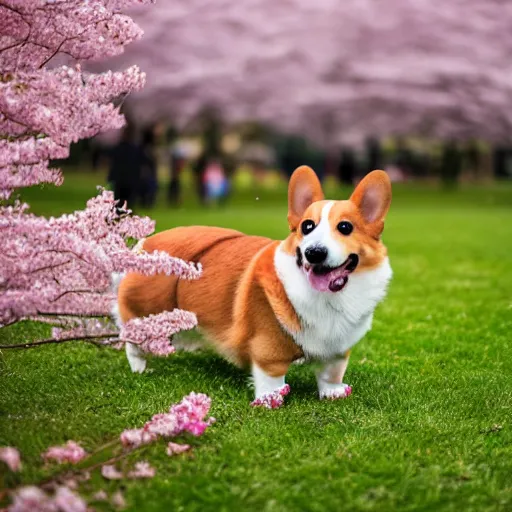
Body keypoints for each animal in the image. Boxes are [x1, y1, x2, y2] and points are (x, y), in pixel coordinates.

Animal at [116, 167, 392, 408]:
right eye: (307, 227)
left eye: (345, 227)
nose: (314, 253)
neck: (328, 298)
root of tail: (147, 242)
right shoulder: (267, 347)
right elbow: (271, 378)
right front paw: (270, 402)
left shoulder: (338, 350)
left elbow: (330, 374)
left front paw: (333, 393)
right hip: (146, 314)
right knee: (132, 340)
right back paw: (140, 368)